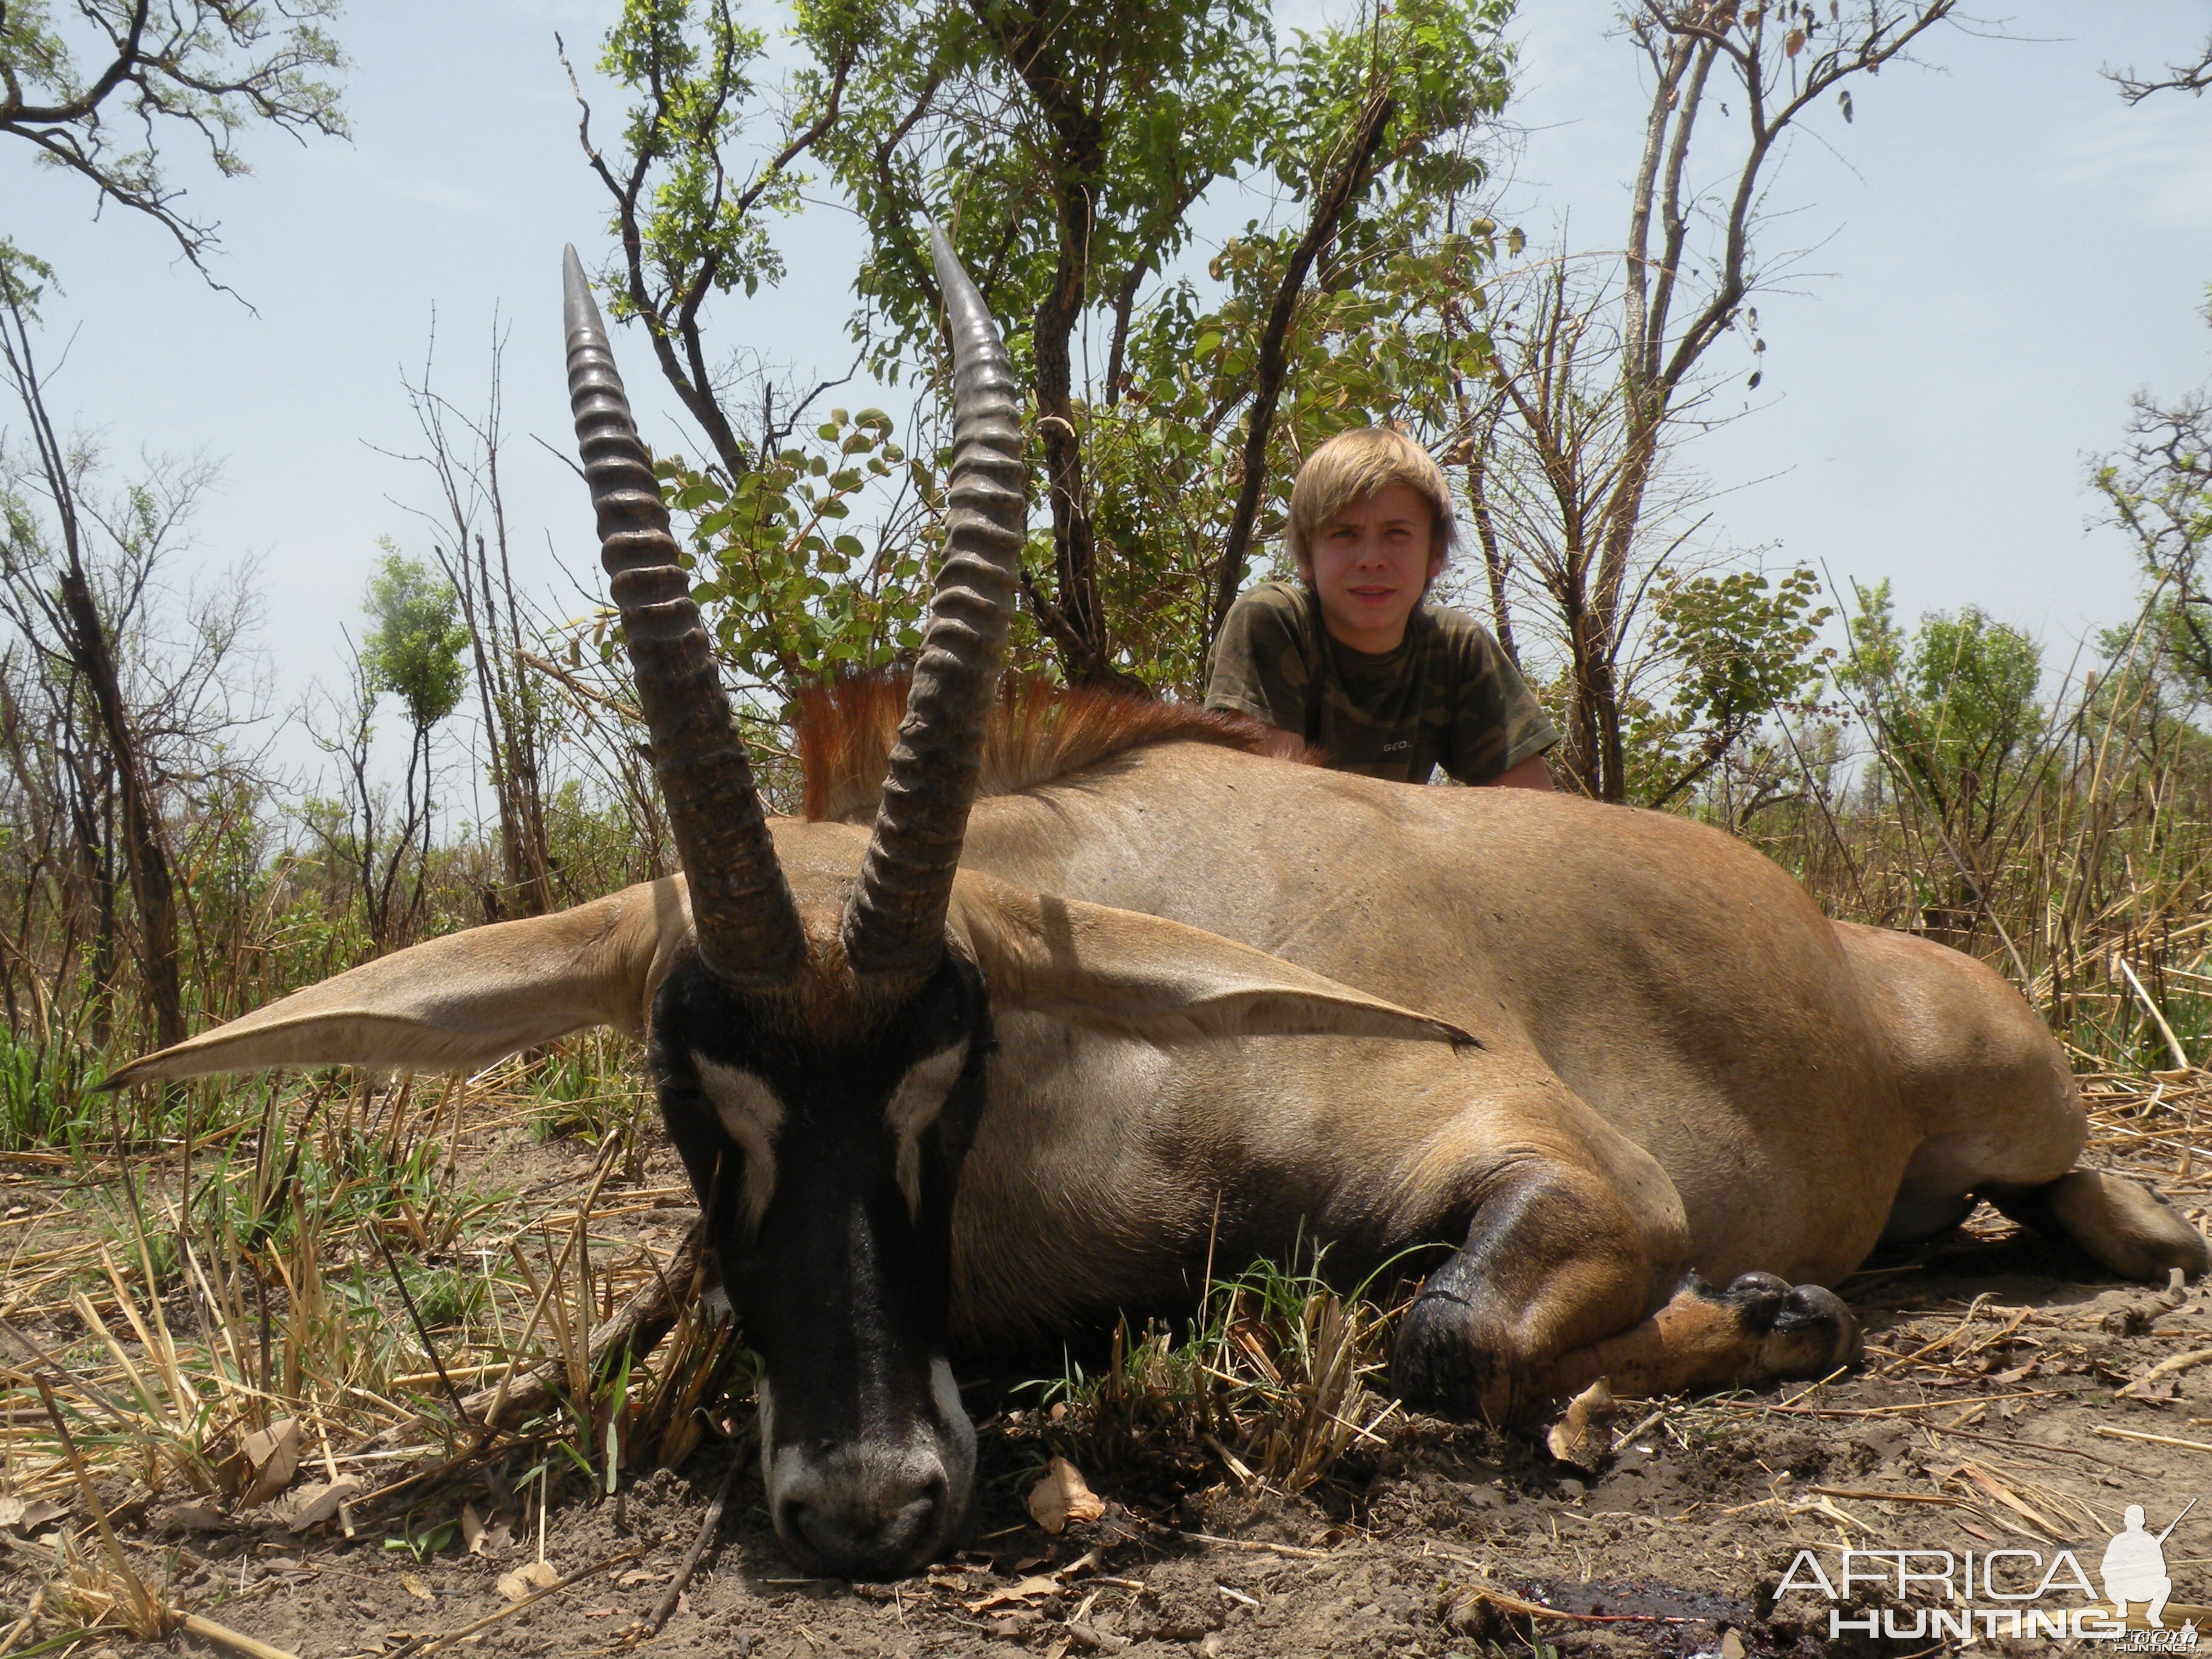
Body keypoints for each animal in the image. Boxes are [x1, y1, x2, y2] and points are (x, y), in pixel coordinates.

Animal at [116, 234, 2212, 1583]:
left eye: (944, 1064)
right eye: (685, 1090)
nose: (867, 1503)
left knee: (2072, 1202)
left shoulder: (1579, 1167)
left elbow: (1441, 1338)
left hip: (2013, 1108)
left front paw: (1775, 1314)